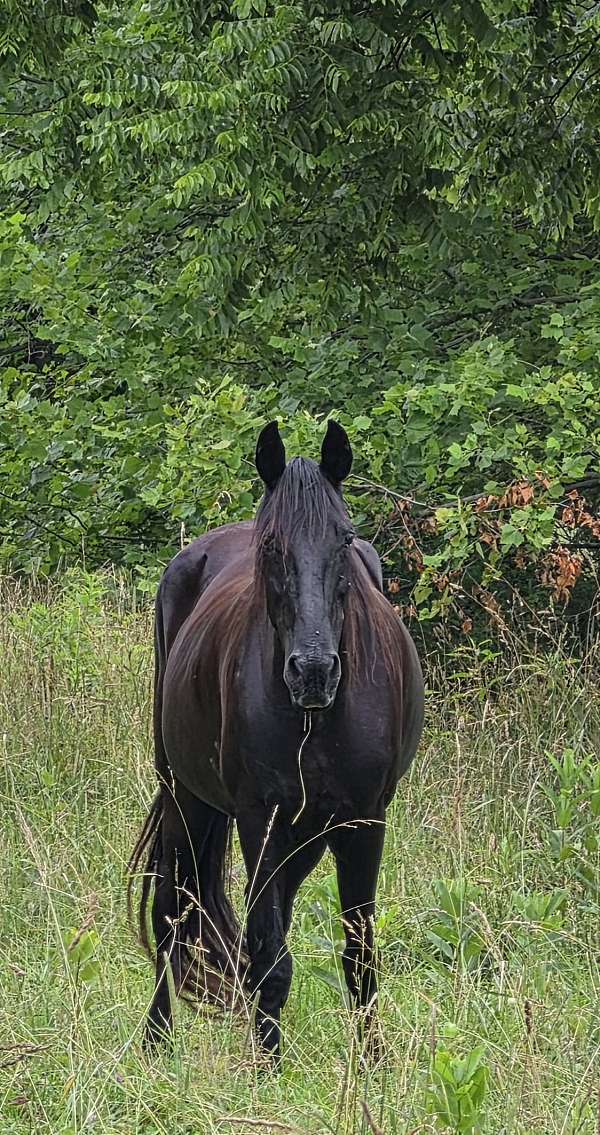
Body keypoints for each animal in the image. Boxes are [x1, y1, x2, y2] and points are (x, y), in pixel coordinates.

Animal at [128, 420, 424, 1065]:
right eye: (270, 547)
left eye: (345, 539)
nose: (312, 671)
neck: (316, 720)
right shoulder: (258, 819)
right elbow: (268, 954)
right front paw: (266, 1065)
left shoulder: (364, 821)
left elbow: (358, 952)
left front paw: (372, 1062)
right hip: (186, 796)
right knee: (171, 912)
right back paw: (156, 1041)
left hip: (305, 831)